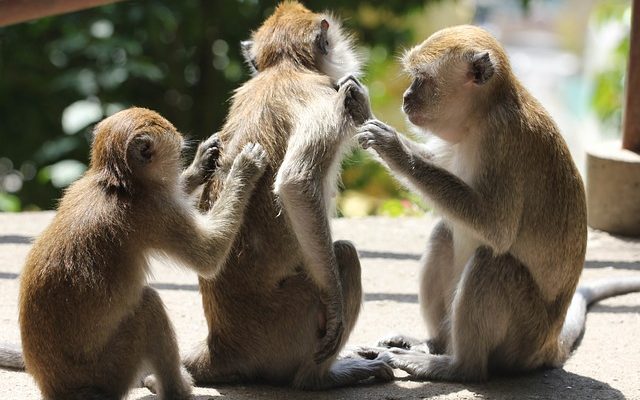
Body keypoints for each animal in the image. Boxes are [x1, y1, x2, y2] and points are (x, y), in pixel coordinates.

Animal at [3, 108, 268, 398]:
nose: (182, 162)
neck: (116, 183)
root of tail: (55, 388)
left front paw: (200, 166)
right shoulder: (154, 211)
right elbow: (208, 254)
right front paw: (244, 170)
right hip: (110, 371)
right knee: (148, 306)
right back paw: (176, 389)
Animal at [182, 1, 392, 390]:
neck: (284, 68)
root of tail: (220, 346)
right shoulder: (325, 96)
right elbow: (296, 183)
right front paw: (337, 310)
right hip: (287, 324)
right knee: (345, 254)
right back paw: (320, 378)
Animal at [350, 25, 640, 382]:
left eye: (422, 79)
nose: (406, 97)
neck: (482, 115)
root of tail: (548, 345)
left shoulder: (502, 141)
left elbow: (497, 229)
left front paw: (394, 149)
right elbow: (438, 164)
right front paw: (362, 110)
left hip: (523, 336)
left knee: (494, 261)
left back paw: (456, 366)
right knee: (444, 233)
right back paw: (433, 343)